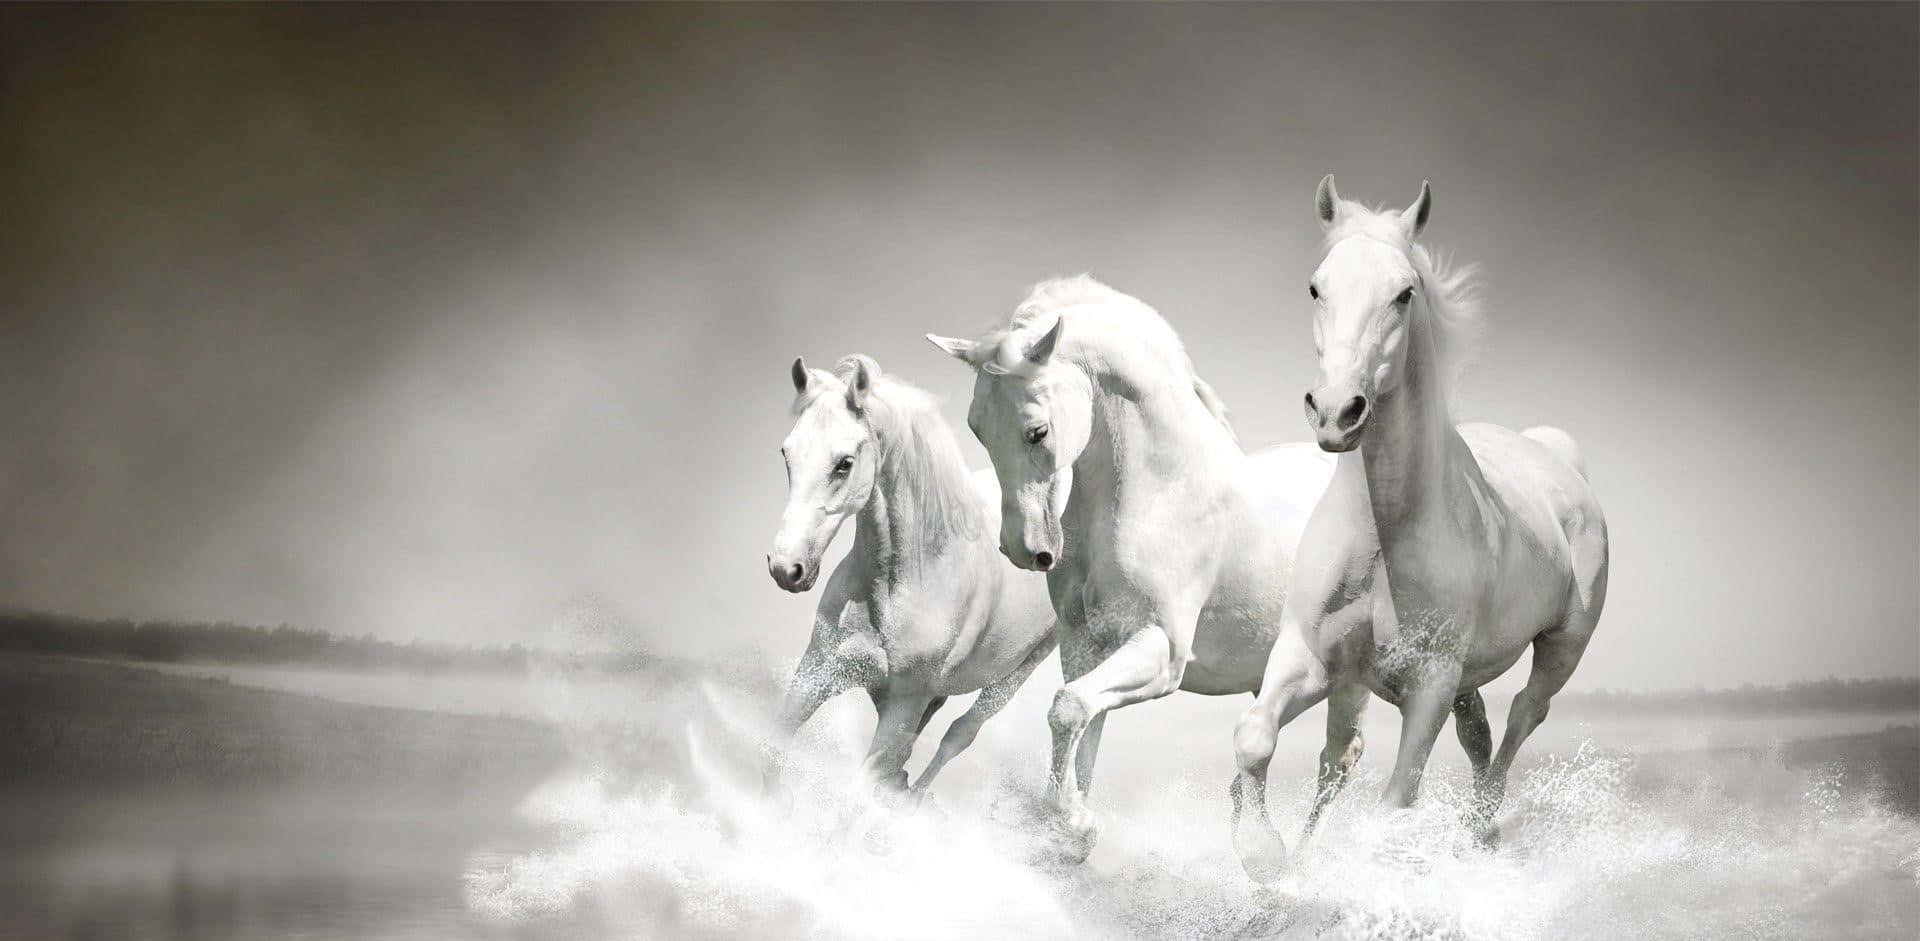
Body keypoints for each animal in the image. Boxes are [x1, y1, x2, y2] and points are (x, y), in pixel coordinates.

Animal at [765, 354, 1057, 804]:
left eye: (844, 463)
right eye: (786, 453)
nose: (786, 568)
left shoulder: (903, 706)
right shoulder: (816, 672)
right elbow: (772, 757)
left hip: (1016, 673)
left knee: (959, 735)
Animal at [927, 276, 1337, 861]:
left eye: (1037, 431)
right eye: (977, 429)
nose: (1024, 550)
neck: (1161, 490)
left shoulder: (1161, 650)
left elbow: (1068, 708)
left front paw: (1073, 821)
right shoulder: (1087, 644)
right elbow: (1082, 722)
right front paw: (1070, 827)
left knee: (1340, 760)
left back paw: (1291, 864)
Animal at [1229, 177, 1610, 880]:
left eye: (1403, 293)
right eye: (1316, 287)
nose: (1336, 412)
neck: (1384, 536)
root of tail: (1559, 459)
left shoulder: (1428, 686)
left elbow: (1396, 800)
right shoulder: (1310, 658)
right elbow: (1255, 737)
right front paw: (1266, 859)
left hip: (1563, 645)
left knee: (1525, 714)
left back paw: (1481, 827)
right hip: (1465, 678)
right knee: (1477, 731)